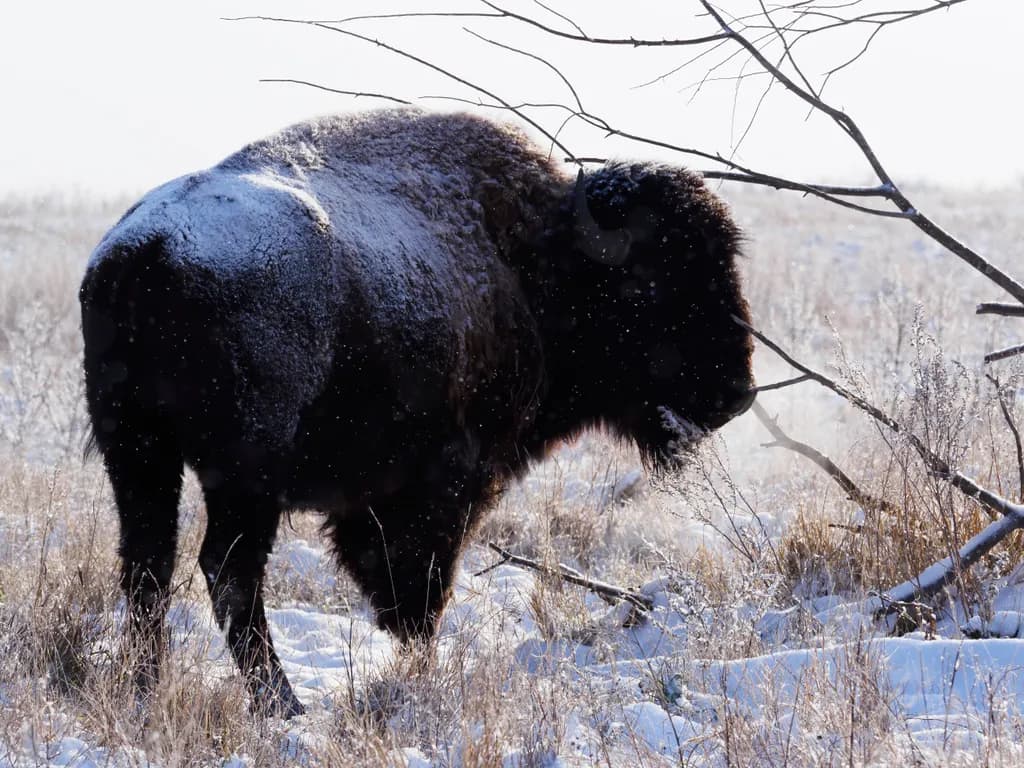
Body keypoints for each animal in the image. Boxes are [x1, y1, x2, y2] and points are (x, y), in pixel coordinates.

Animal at [80, 109, 755, 717]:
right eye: (655, 280)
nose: (738, 393)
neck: (529, 255)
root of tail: (146, 252)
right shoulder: (447, 482)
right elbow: (420, 583)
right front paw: (421, 660)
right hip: (243, 476)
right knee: (228, 572)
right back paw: (281, 704)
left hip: (138, 455)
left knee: (148, 566)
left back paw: (146, 689)